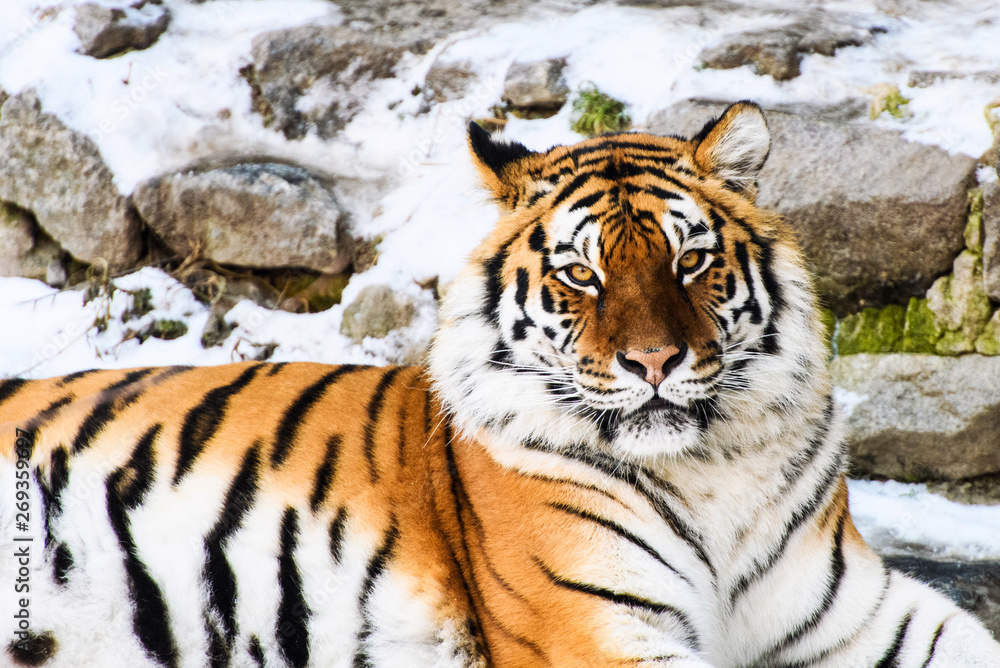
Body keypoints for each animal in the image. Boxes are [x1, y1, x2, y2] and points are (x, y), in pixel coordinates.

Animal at [2, 101, 999, 668]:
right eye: (582, 275)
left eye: (690, 262)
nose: (655, 363)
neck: (713, 470)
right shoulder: (598, 629)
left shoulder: (855, 616)